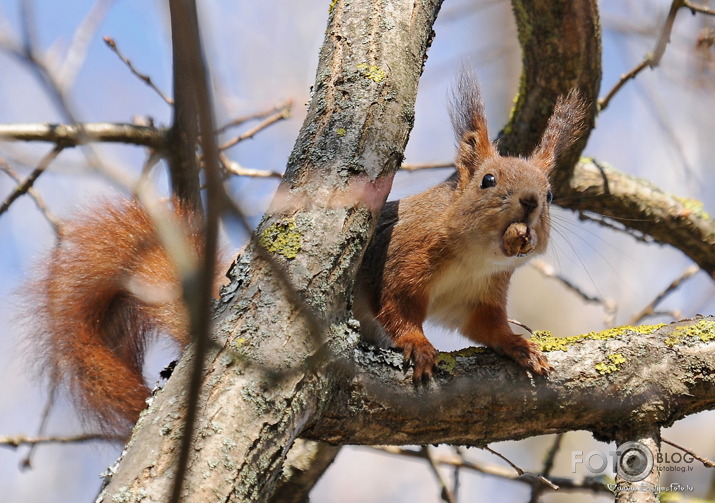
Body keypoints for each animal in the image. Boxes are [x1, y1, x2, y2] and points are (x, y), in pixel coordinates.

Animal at [26, 74, 588, 438]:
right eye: (488, 180)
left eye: (551, 193)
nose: (531, 205)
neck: (474, 257)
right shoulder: (403, 261)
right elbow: (398, 308)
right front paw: (419, 347)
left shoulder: (481, 296)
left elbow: (485, 328)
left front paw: (520, 347)